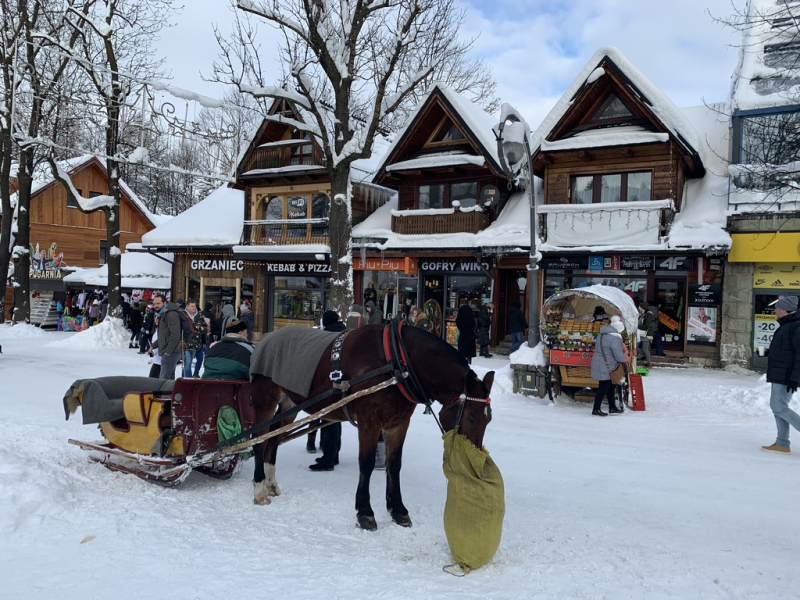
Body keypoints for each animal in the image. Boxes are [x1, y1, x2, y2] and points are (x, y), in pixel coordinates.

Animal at [250, 324, 494, 528]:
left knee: (274, 439)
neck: (397, 362)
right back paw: (260, 487)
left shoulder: (398, 424)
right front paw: (365, 512)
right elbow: (366, 464)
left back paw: (271, 483)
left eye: (488, 419)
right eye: (471, 418)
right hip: (264, 400)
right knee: (259, 441)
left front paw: (398, 509)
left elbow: (394, 464)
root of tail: (266, 337)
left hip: (289, 403)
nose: (477, 463)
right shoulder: (369, 421)